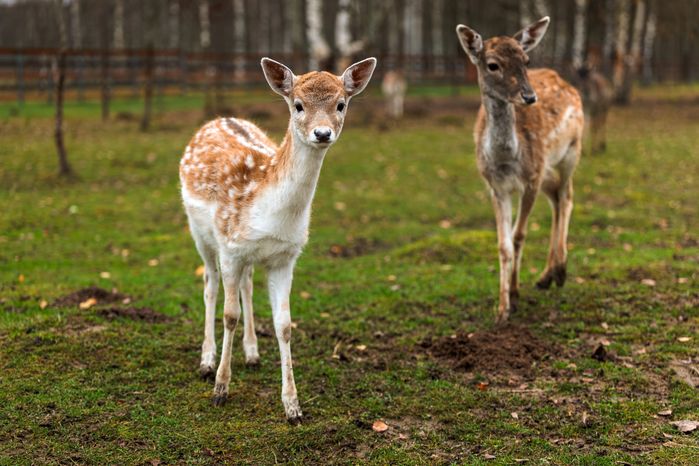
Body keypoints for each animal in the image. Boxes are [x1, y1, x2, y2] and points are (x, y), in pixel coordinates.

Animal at [179, 57, 377, 422]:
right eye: (297, 105)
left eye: (341, 104)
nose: (322, 133)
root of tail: (217, 119)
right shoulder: (230, 247)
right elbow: (229, 315)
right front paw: (220, 389)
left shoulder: (285, 256)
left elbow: (284, 325)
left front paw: (293, 407)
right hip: (199, 232)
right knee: (210, 285)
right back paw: (207, 361)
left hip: (249, 255)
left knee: (246, 284)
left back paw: (252, 353)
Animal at [455, 17, 584, 323]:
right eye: (492, 64)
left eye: (526, 60)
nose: (529, 96)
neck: (506, 158)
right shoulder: (495, 185)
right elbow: (504, 245)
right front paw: (503, 308)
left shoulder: (531, 179)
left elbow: (519, 236)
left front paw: (514, 294)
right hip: (547, 168)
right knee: (556, 199)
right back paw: (546, 276)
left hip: (571, 151)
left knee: (567, 196)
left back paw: (560, 271)